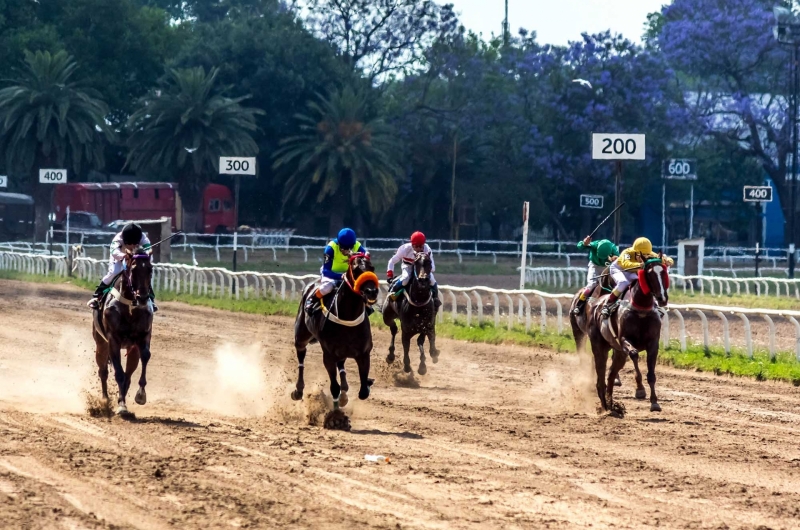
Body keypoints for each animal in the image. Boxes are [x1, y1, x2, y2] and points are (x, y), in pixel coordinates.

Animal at [92, 245, 155, 414]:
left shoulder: (143, 336)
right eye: (133, 269)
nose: (143, 298)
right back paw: (105, 399)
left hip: (131, 349)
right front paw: (121, 405)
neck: (129, 306)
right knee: (103, 371)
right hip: (101, 343)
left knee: (128, 374)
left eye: (150, 269)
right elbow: (118, 373)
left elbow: (145, 356)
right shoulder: (113, 339)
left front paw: (140, 395)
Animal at [290, 252, 382, 424]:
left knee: (342, 368)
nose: (372, 291)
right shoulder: (329, 355)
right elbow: (334, 387)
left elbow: (363, 391)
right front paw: (336, 417)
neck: (348, 316)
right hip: (301, 336)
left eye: (372, 268)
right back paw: (298, 390)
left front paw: (365, 384)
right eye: (356, 269)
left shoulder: (363, 354)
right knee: (301, 357)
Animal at [568, 256, 668, 412]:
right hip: (582, 334)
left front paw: (654, 402)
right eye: (649, 274)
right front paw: (640, 389)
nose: (662, 298)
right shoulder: (624, 339)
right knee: (590, 359)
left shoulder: (653, 343)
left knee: (610, 372)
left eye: (664, 272)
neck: (641, 311)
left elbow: (651, 374)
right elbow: (634, 354)